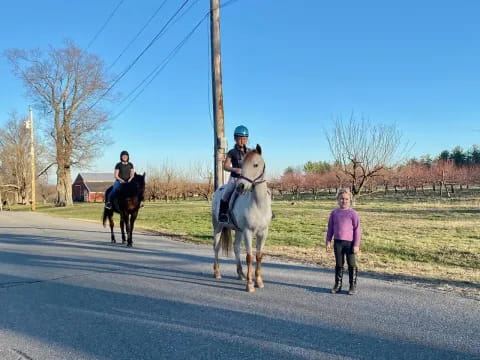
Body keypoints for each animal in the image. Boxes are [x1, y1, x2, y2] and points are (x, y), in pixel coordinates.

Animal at [212, 143, 272, 292]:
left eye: (256, 164)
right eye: (242, 164)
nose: (240, 186)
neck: (258, 204)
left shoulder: (263, 233)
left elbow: (259, 255)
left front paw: (259, 281)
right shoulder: (248, 232)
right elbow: (249, 257)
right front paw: (250, 285)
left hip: (238, 230)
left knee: (236, 248)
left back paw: (241, 274)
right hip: (218, 227)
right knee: (216, 247)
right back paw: (217, 272)